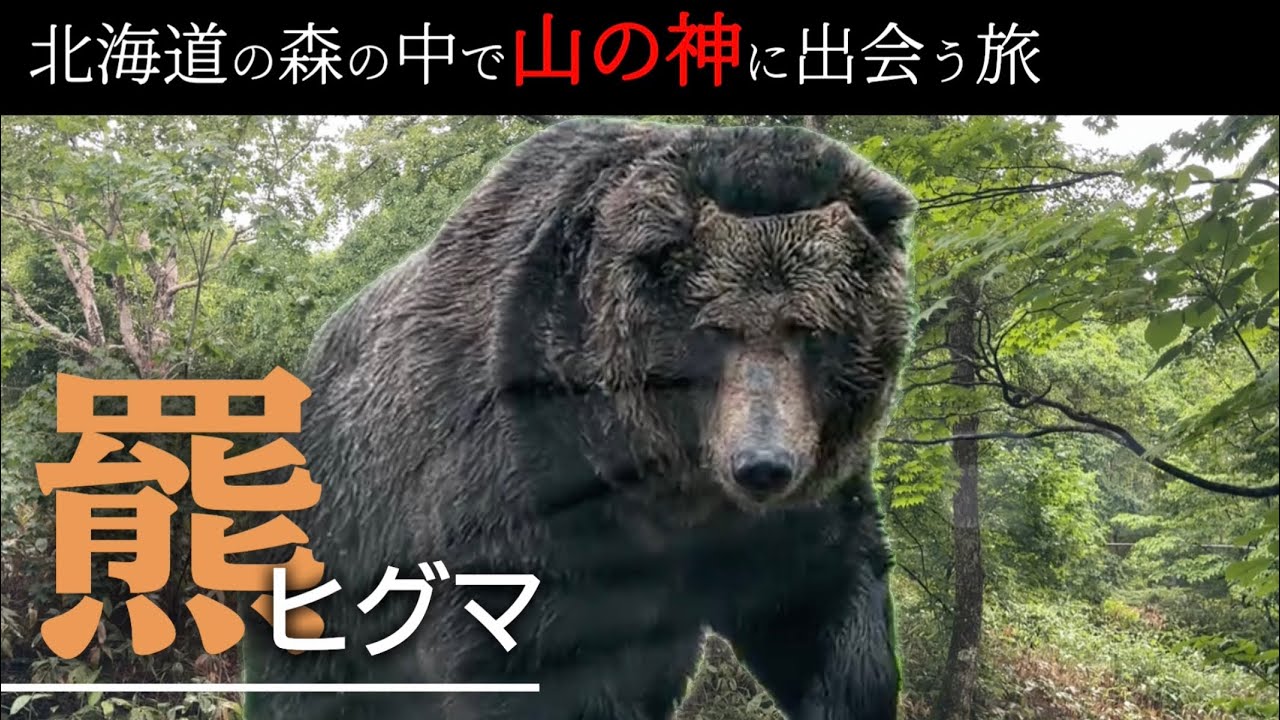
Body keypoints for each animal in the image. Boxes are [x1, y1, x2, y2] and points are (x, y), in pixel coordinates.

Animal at [242, 116, 919, 720]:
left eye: (812, 330)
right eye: (713, 331)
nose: (762, 466)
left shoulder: (789, 512)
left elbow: (824, 617)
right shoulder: (524, 494)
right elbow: (534, 664)